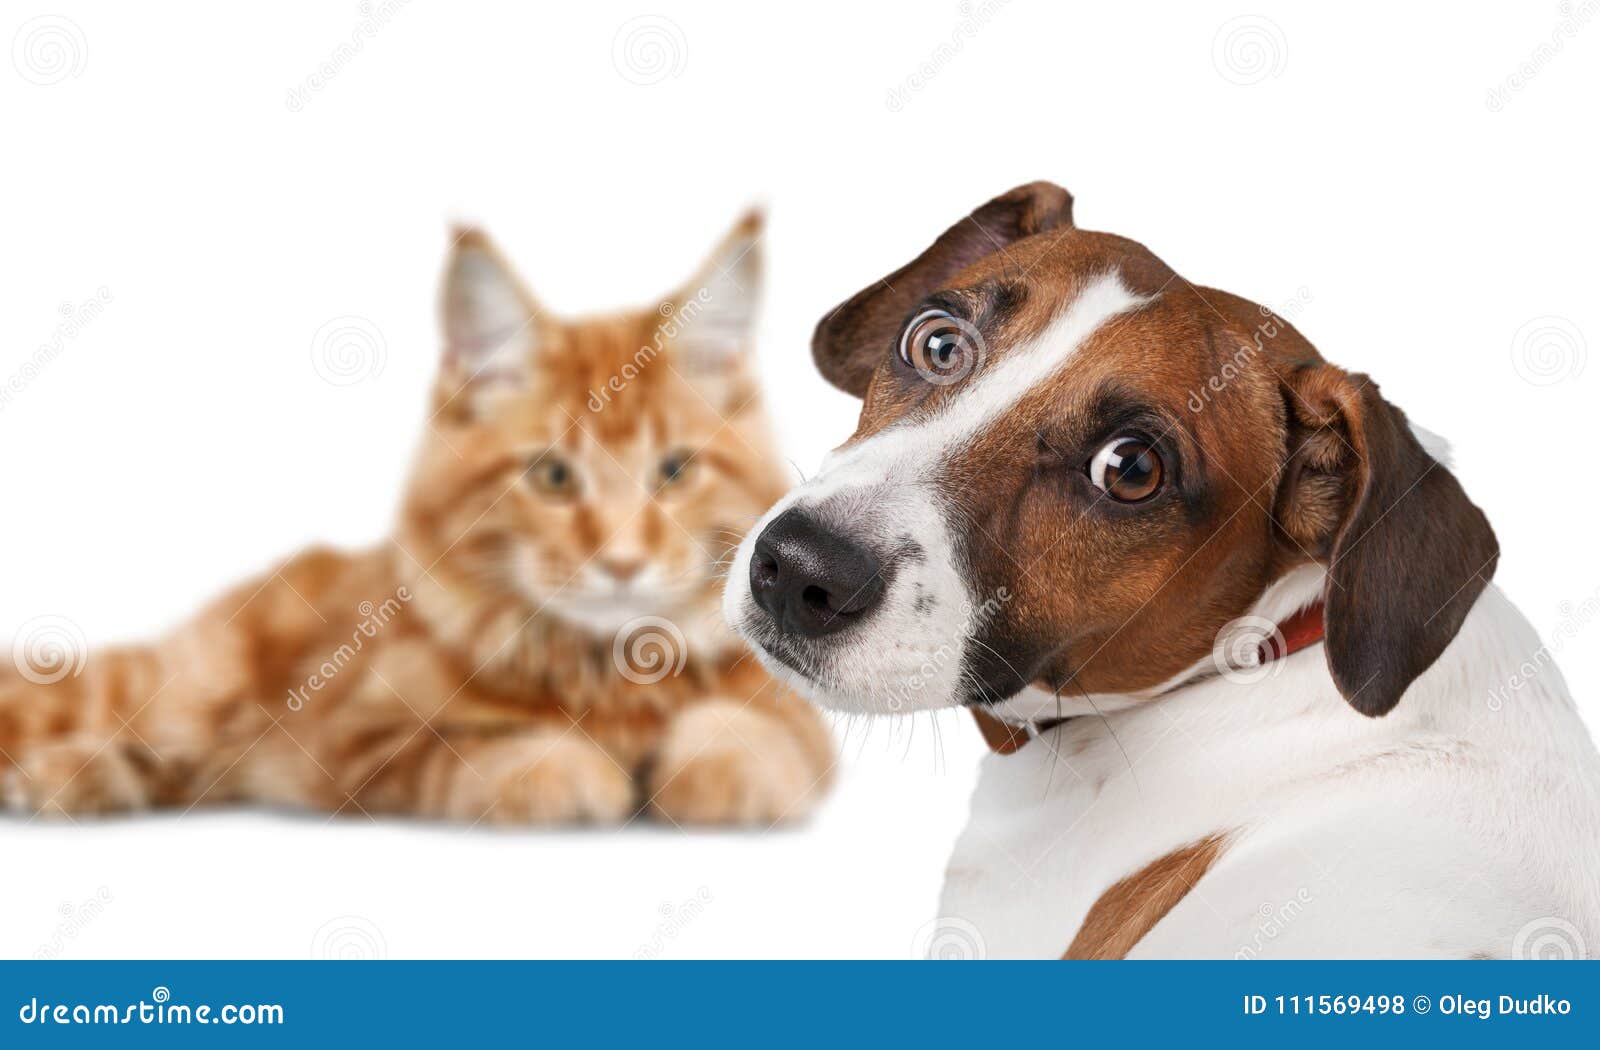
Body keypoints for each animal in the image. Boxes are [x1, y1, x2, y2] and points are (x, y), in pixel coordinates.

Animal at [6, 212, 838, 825]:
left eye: (674, 471)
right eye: (552, 476)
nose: (623, 560)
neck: (608, 678)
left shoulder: (793, 712)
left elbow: (756, 736)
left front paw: (720, 775)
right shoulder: (355, 739)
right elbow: (473, 750)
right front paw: (575, 773)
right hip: (175, 692)